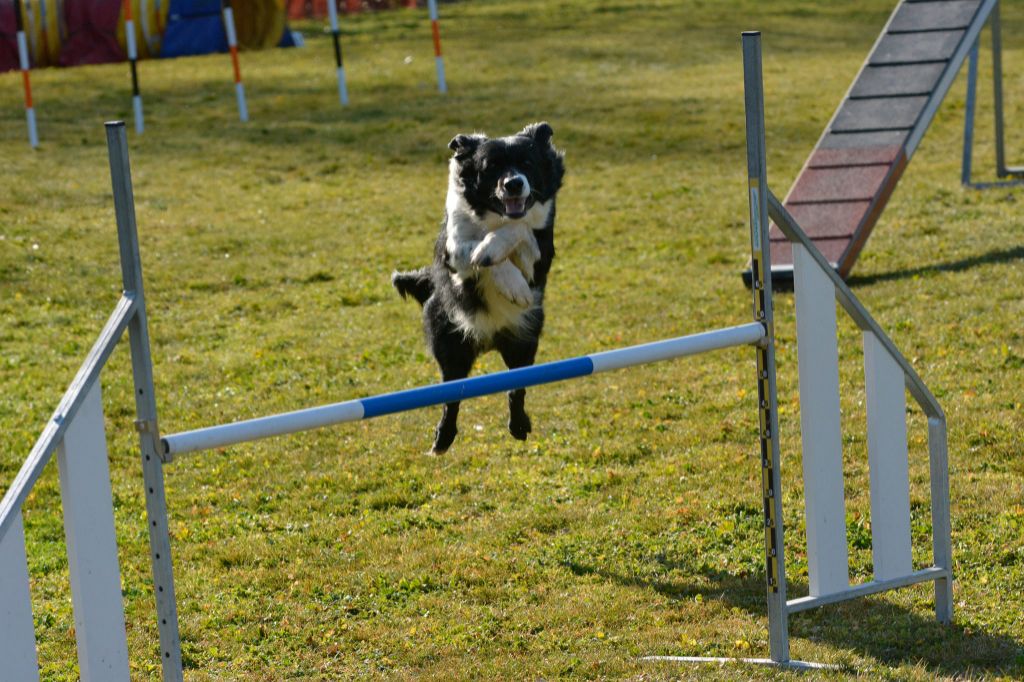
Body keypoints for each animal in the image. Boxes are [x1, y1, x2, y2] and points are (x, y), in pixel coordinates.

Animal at [393, 122, 569, 450]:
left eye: (527, 163)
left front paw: (508, 272)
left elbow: (521, 229)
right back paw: (443, 438)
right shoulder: (454, 251)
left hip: (523, 340)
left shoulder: (540, 256)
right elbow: (477, 252)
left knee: (516, 386)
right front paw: (495, 264)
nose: (513, 184)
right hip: (450, 343)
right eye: (491, 167)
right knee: (452, 395)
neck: (495, 217)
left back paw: (519, 425)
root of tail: (489, 340)